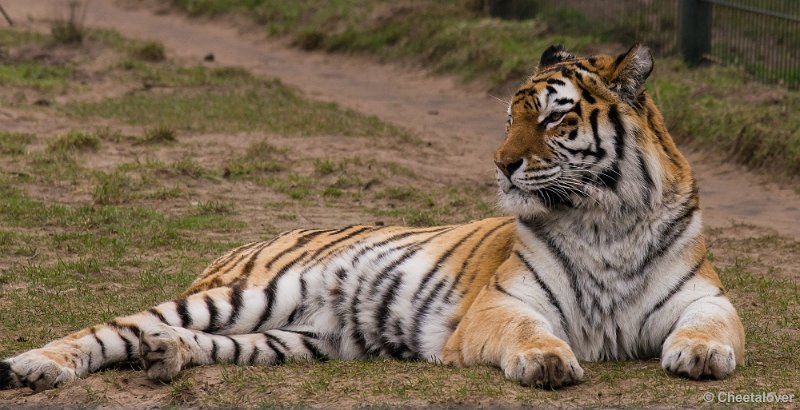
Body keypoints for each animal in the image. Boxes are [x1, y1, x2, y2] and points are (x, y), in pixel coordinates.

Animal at [0, 44, 744, 390]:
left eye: (553, 119)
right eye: (509, 117)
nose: (501, 164)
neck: (604, 220)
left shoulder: (703, 295)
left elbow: (711, 324)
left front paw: (701, 354)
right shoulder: (502, 304)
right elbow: (531, 332)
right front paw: (547, 362)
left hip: (299, 338)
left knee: (185, 341)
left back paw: (166, 357)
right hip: (243, 296)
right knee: (110, 327)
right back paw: (36, 366)